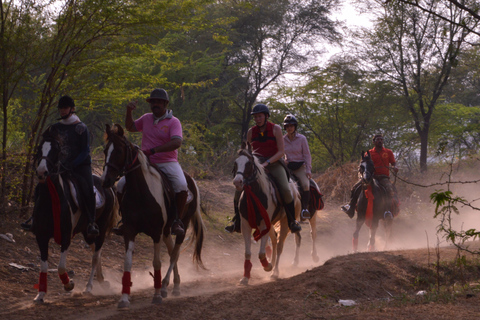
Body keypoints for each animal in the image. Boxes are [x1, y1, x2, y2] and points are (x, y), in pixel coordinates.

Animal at [31, 125, 118, 302]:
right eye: (39, 148)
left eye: (56, 150)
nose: (42, 172)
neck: (51, 199)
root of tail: (108, 187)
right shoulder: (41, 236)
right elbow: (43, 266)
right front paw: (40, 295)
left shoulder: (65, 236)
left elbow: (60, 266)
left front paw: (69, 284)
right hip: (87, 232)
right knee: (95, 251)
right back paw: (101, 279)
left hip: (100, 229)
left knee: (95, 256)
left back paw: (89, 287)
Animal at [100, 124, 205, 308]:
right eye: (106, 150)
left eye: (119, 151)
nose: (106, 180)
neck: (141, 193)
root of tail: (191, 180)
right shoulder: (129, 231)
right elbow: (127, 262)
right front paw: (124, 298)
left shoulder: (156, 232)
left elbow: (157, 262)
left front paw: (156, 295)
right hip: (166, 231)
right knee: (171, 251)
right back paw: (174, 285)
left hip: (181, 226)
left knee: (175, 253)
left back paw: (164, 286)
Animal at [232, 144, 304, 284]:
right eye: (236, 163)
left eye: (249, 164)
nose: (237, 182)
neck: (254, 194)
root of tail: (295, 190)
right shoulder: (245, 226)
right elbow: (247, 252)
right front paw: (245, 277)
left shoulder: (264, 225)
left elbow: (261, 253)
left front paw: (267, 266)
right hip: (271, 224)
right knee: (275, 241)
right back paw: (273, 263)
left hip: (285, 222)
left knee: (280, 245)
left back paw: (275, 272)